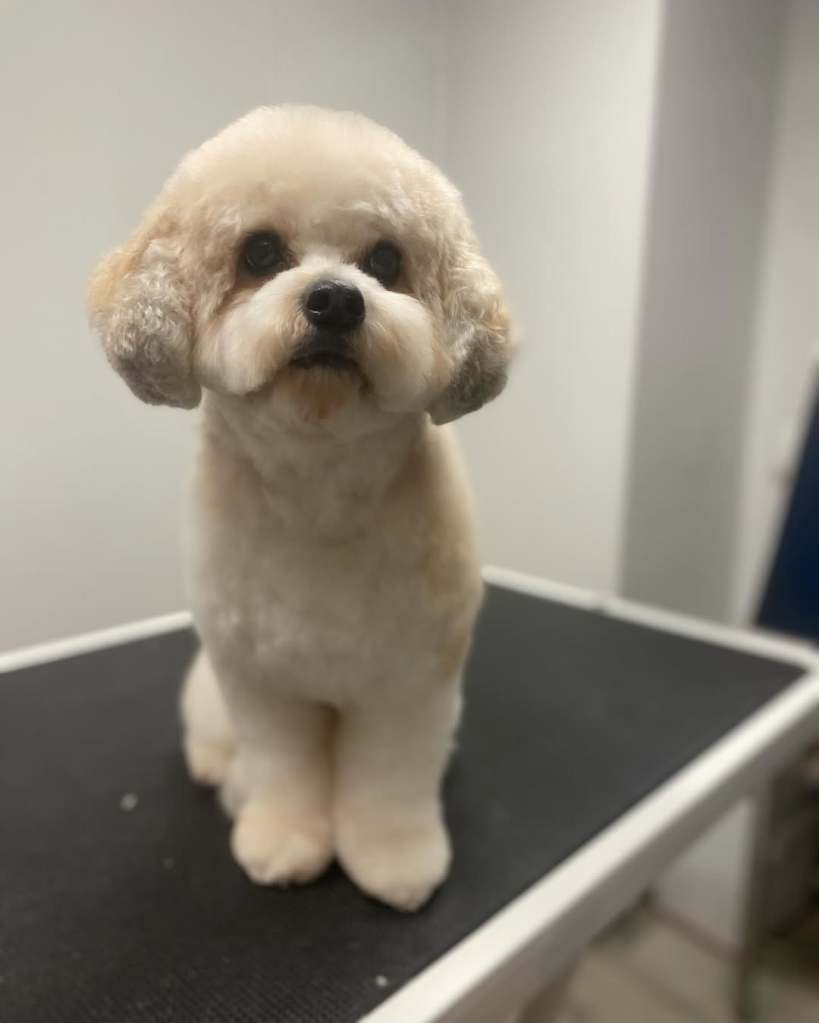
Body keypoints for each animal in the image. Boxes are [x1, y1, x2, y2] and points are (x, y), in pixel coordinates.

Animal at [88, 106, 513, 911]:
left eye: (385, 260)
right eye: (260, 251)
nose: (335, 298)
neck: (319, 489)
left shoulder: (411, 682)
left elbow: (391, 781)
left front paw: (394, 860)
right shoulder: (260, 684)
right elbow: (282, 770)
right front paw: (282, 842)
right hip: (209, 687)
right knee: (213, 737)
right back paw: (216, 769)